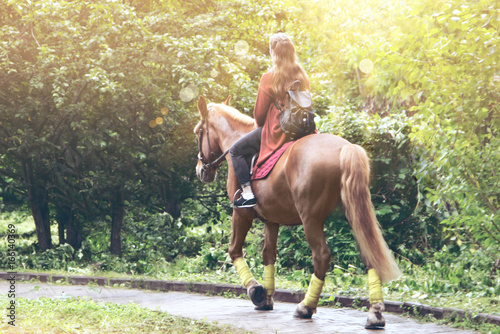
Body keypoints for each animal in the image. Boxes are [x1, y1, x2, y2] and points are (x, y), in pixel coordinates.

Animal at [193, 95, 400, 328]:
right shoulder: (271, 220)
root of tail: (344, 148)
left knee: (321, 256)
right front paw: (267, 298)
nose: (201, 170)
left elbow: (234, 250)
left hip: (311, 219)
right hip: (353, 213)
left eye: (198, 132)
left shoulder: (242, 213)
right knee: (368, 252)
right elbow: (269, 255)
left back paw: (306, 307)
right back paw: (375, 313)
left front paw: (256, 291)